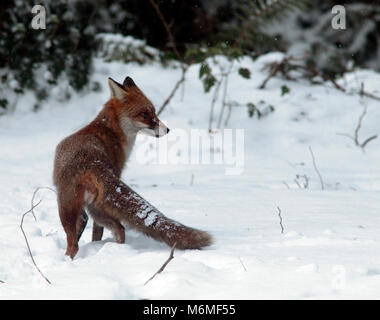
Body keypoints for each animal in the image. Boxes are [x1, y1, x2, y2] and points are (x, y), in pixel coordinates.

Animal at [52, 76, 214, 258]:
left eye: (154, 112)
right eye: (144, 114)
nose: (167, 130)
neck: (111, 132)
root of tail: (93, 161)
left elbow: (90, 230)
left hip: (85, 208)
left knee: (100, 234)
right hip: (84, 207)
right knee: (106, 232)